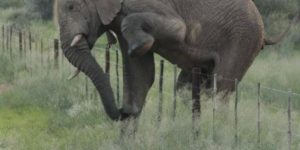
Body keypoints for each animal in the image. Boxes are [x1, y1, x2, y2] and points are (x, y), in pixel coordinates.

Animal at [54, 0, 296, 121]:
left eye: (71, 7)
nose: (123, 112)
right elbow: (141, 74)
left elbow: (178, 28)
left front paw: (139, 46)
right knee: (186, 89)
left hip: (243, 39)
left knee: (221, 90)